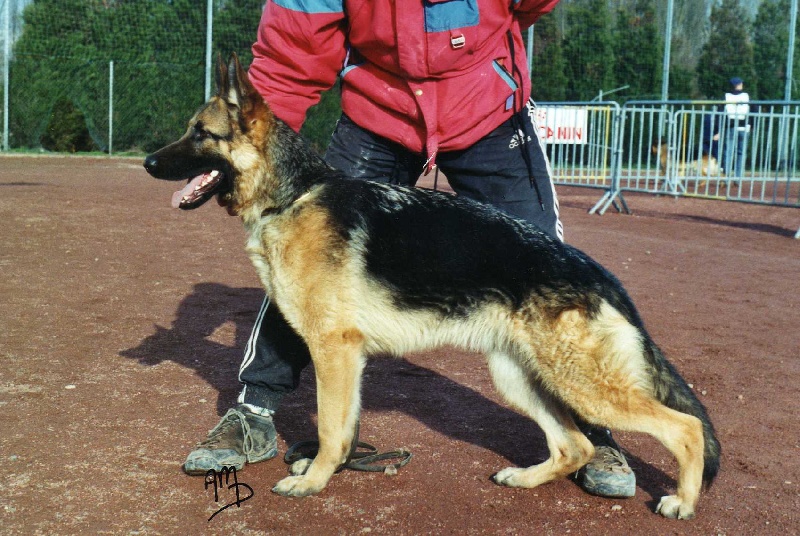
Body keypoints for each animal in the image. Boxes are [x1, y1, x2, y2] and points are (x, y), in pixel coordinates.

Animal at [144, 54, 720, 520]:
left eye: (201, 133)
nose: (148, 162)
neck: (294, 194)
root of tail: (600, 274)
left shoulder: (335, 351)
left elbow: (331, 428)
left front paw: (313, 482)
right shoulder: (343, 357)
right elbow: (343, 427)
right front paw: (329, 470)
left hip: (583, 385)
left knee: (684, 429)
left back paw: (682, 502)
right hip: (519, 378)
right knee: (572, 444)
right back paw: (525, 478)